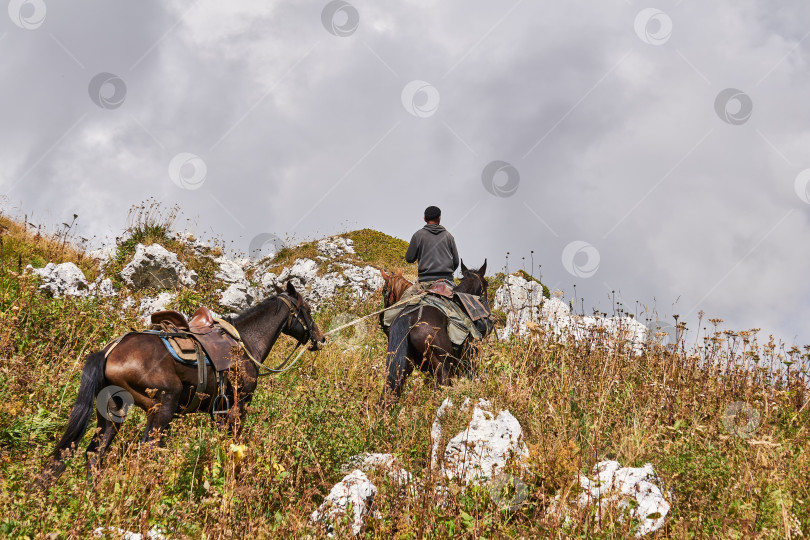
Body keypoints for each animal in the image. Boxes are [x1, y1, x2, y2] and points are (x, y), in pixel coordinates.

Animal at [41, 282, 324, 486]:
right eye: (308, 310)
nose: (320, 338)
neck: (244, 341)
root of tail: (109, 351)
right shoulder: (238, 407)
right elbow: (236, 447)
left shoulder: (218, 413)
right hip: (162, 408)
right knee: (147, 450)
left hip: (111, 414)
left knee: (95, 452)